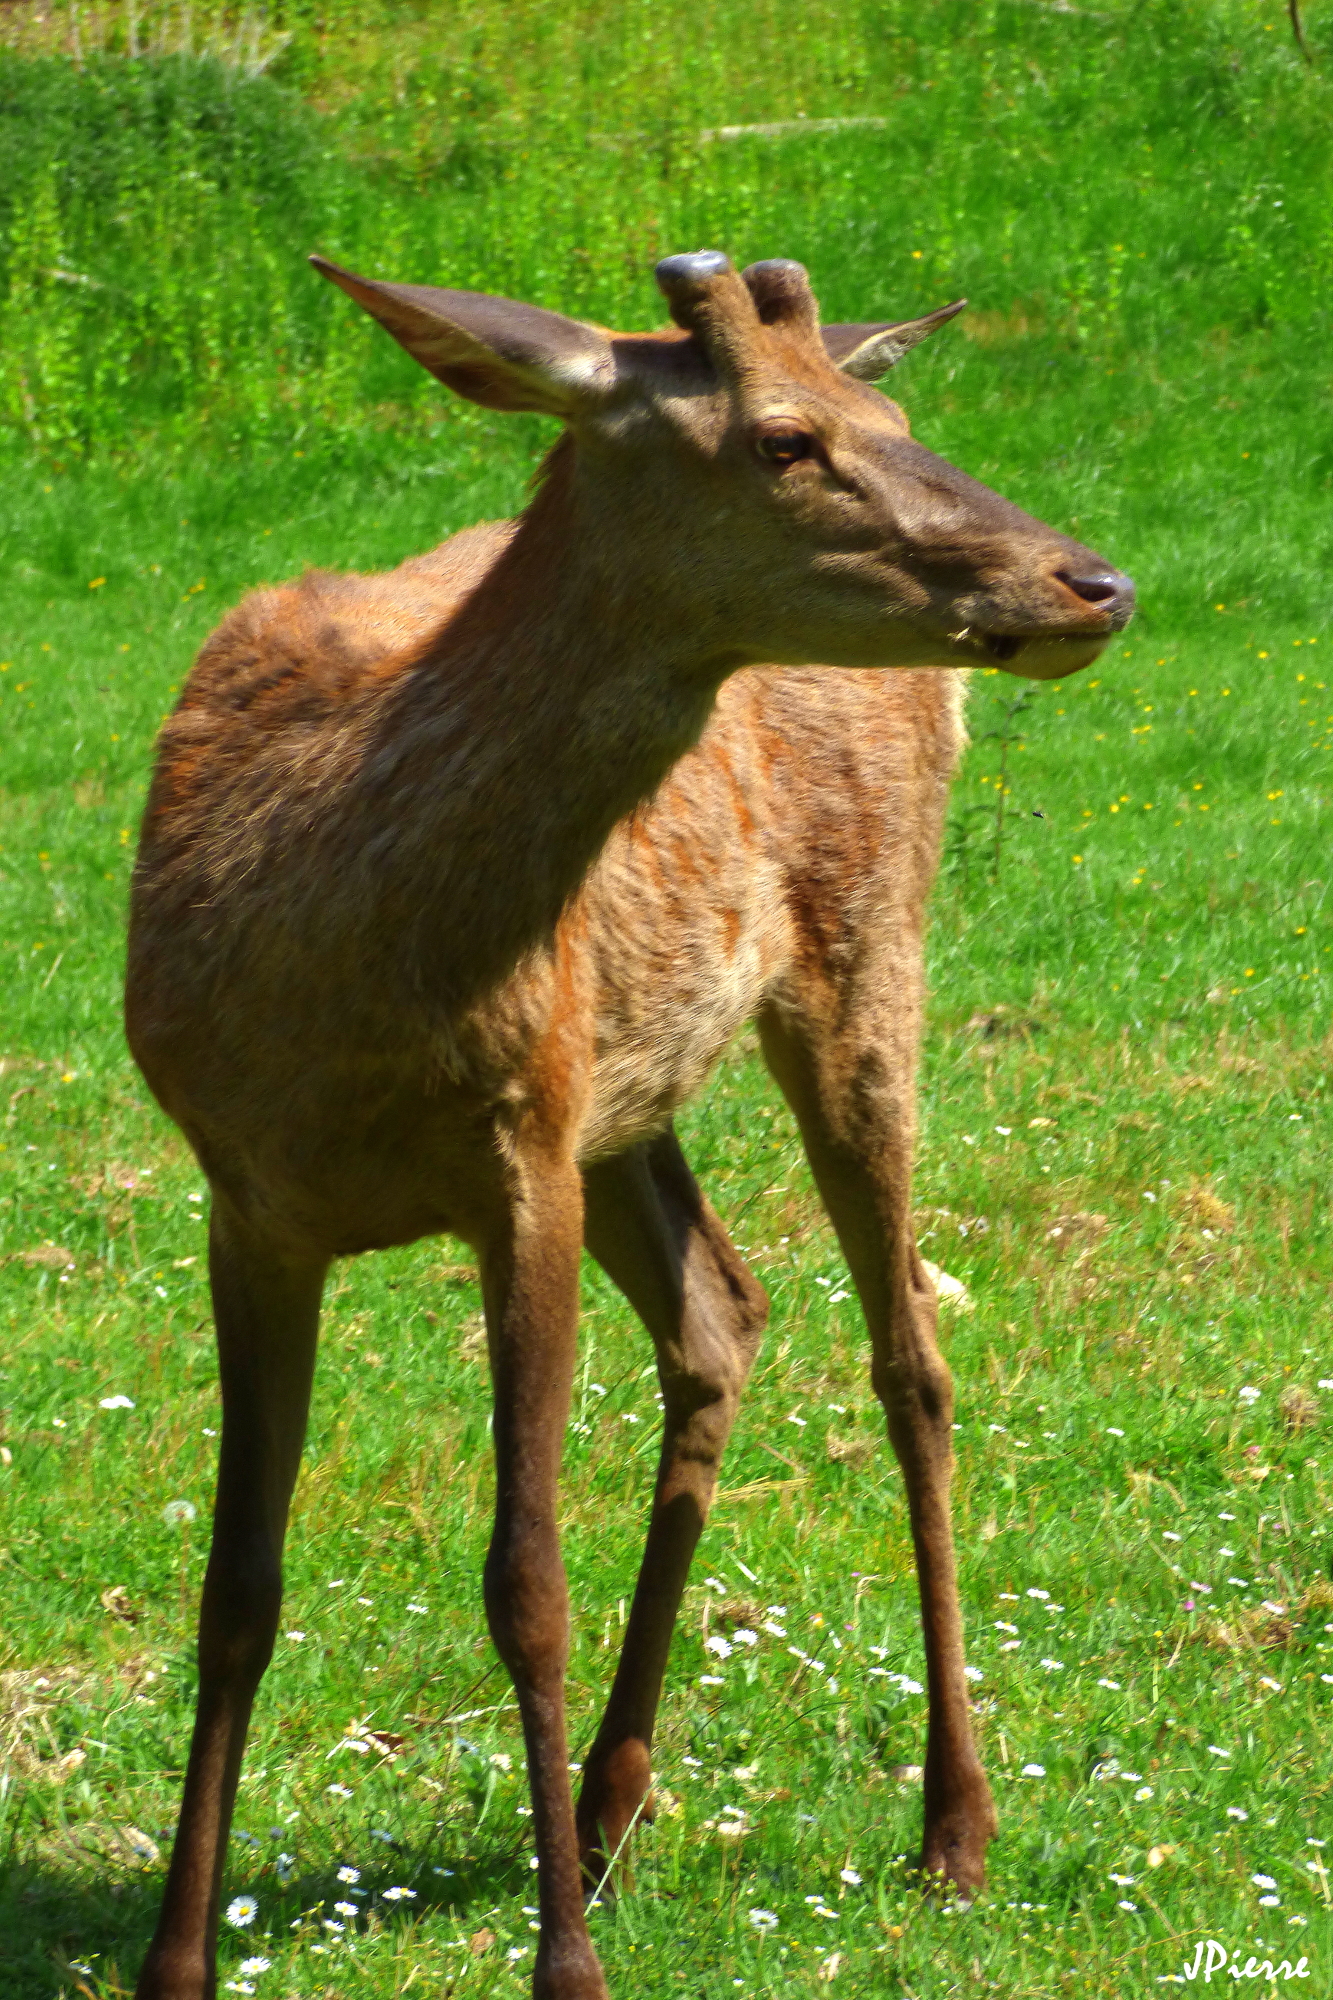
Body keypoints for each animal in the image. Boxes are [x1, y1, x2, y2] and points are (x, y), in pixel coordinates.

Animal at [124, 250, 1128, 2000]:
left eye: (885, 421)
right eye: (786, 438)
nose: (1090, 582)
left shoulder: (513, 1163)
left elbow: (525, 1580)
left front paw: (568, 1967)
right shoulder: (249, 1197)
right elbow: (236, 1587)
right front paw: (177, 1961)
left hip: (860, 953)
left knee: (911, 1355)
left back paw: (952, 1824)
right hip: (621, 1096)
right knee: (723, 1309)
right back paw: (606, 1803)